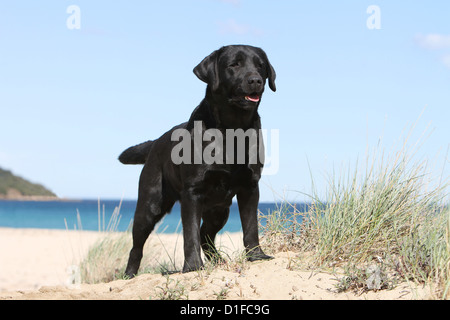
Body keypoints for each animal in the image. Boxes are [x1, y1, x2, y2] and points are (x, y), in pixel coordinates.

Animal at [118, 43, 274, 276]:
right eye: (234, 65)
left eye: (261, 65)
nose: (255, 80)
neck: (231, 130)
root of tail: (156, 142)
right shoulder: (192, 192)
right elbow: (189, 234)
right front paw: (192, 267)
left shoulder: (250, 186)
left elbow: (250, 226)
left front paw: (256, 256)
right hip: (149, 206)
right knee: (137, 246)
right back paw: (129, 275)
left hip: (219, 209)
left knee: (206, 236)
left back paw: (219, 261)